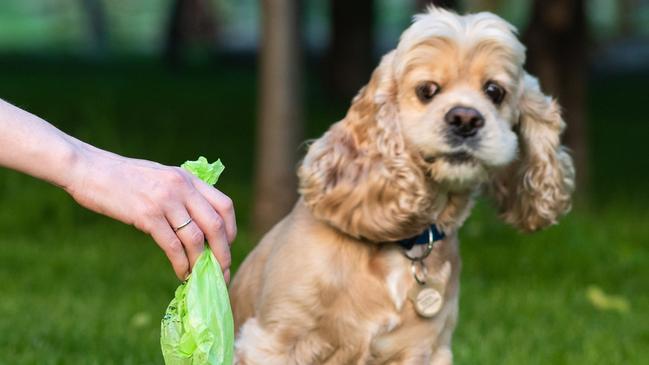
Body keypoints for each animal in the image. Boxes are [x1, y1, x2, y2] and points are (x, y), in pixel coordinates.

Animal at [230, 6, 576, 364]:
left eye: (495, 91)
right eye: (427, 90)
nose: (465, 119)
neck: (405, 242)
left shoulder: (423, 349)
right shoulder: (274, 340)